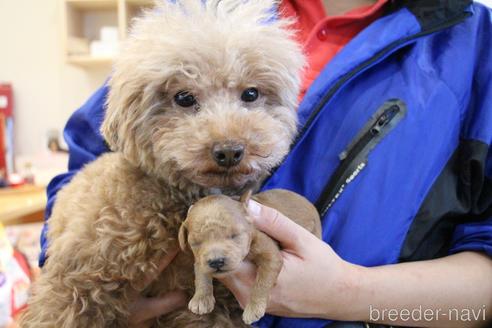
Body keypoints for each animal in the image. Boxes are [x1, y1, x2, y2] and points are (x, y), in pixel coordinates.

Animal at [20, 0, 304, 328]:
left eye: (251, 93)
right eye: (184, 97)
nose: (229, 151)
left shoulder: (207, 303)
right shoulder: (75, 278)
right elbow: (58, 308)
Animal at [179, 188, 320, 324]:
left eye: (234, 235)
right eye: (196, 243)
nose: (216, 262)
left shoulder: (270, 254)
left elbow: (262, 282)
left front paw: (253, 308)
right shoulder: (200, 259)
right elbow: (201, 274)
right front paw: (201, 298)